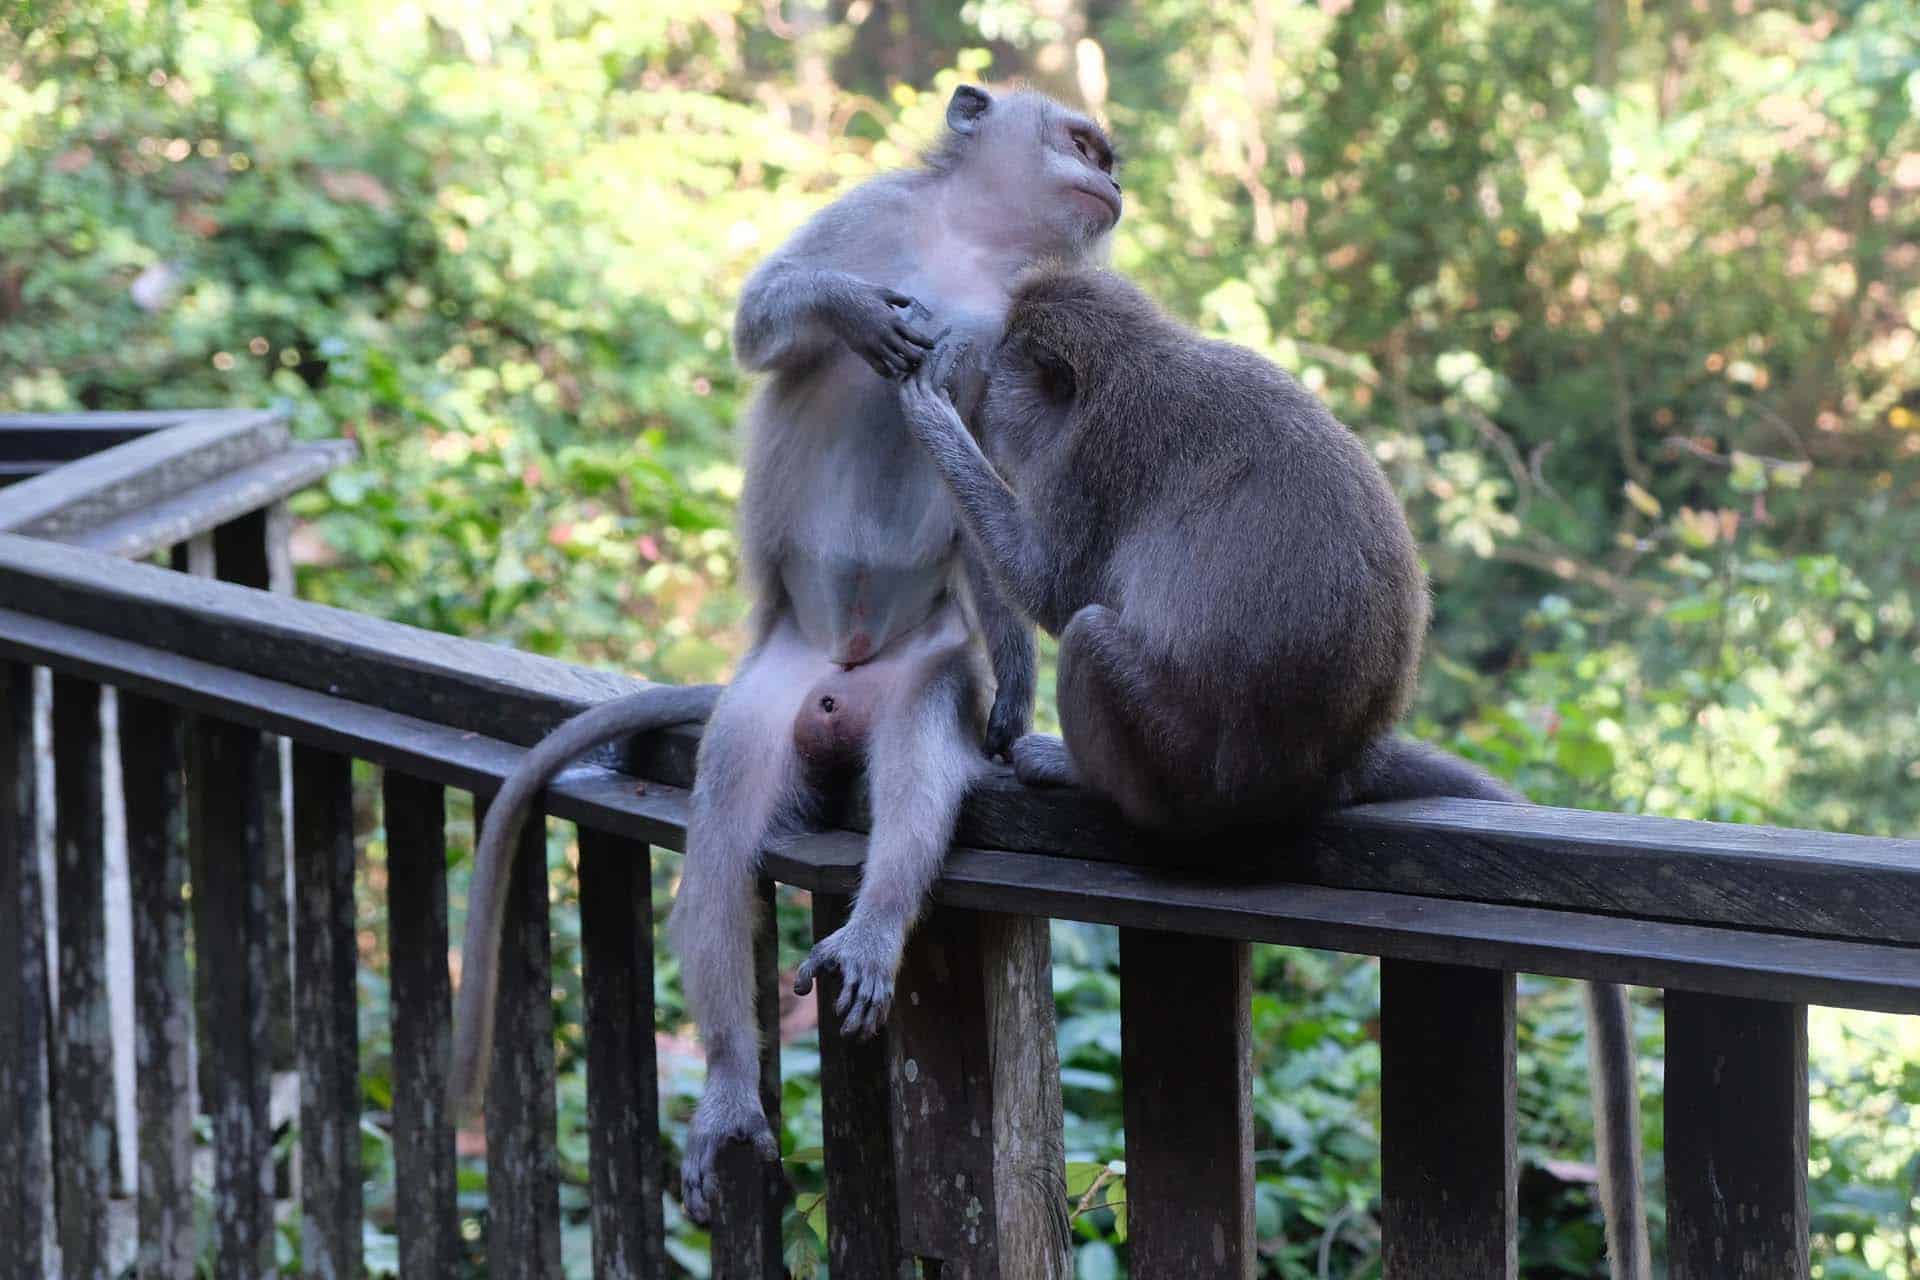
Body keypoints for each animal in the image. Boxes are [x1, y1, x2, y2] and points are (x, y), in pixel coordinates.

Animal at [445, 84, 1121, 1228]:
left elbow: (986, 488)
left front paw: (1021, 695)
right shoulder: (877, 213)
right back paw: (728, 1080)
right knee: (723, 824)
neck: (970, 243)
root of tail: (838, 667)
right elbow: (761, 320)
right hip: (773, 683)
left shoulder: (1015, 330)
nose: (1115, 181)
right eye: (1082, 142)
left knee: (917, 754)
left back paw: (875, 927)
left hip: (921, 661)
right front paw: (850, 311)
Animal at [898, 264, 1651, 1274]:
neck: (1128, 362)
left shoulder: (1092, 461)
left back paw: (1081, 779)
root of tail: (1335, 769)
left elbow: (1057, 587)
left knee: (1094, 633)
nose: (979, 401)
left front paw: (930, 409)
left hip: (1181, 766)